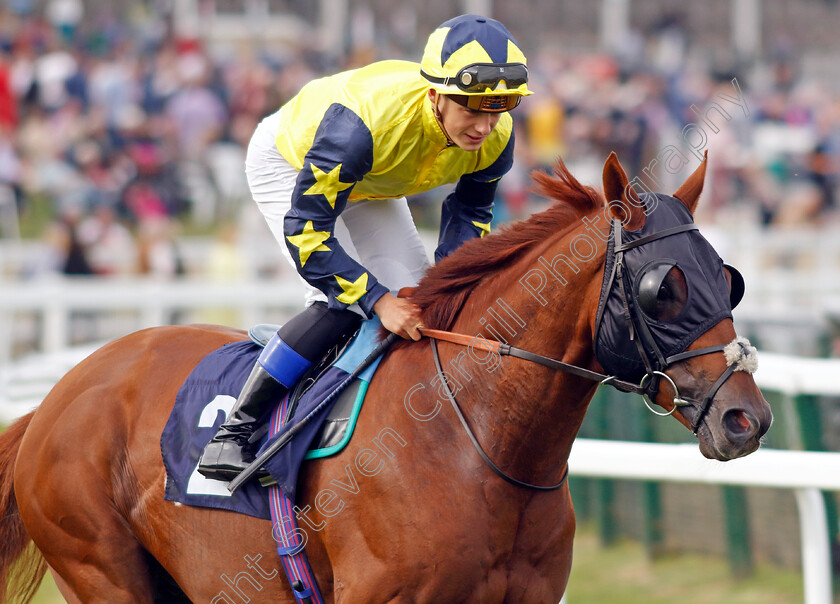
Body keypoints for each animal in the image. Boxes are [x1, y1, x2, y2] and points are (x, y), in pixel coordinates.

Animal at [1, 153, 776, 600]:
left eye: (728, 278)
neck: (475, 441)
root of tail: (56, 397)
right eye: (664, 288)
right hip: (99, 565)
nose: (747, 418)